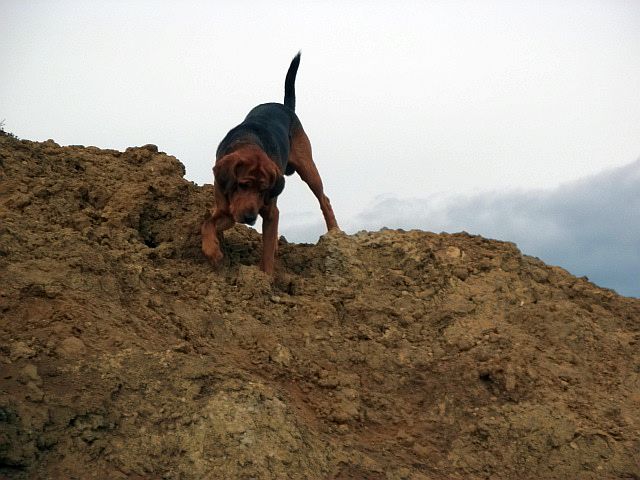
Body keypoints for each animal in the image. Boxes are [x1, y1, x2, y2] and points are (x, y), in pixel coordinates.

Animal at [202, 52, 340, 274]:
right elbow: (208, 223)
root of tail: (284, 106)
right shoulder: (225, 208)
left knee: (323, 199)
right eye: (243, 185)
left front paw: (264, 278)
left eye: (263, 190)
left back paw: (335, 231)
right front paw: (212, 251)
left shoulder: (268, 211)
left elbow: (266, 256)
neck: (249, 141)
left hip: (307, 168)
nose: (250, 218)